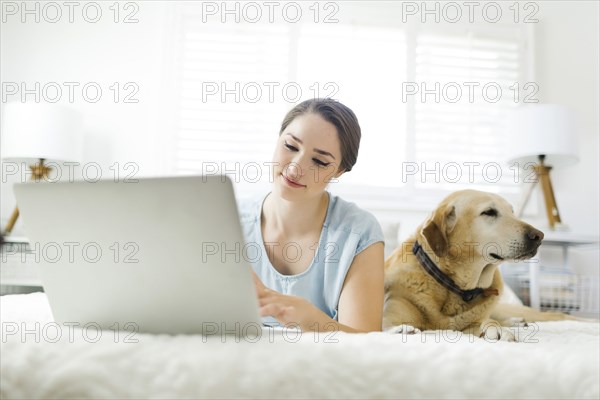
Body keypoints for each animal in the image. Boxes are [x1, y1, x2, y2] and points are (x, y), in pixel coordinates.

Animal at [384, 190, 572, 340]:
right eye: (489, 212)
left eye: (512, 212)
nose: (539, 236)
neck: (455, 287)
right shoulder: (389, 317)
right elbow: (390, 326)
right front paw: (402, 330)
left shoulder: (472, 322)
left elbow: (488, 322)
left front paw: (496, 329)